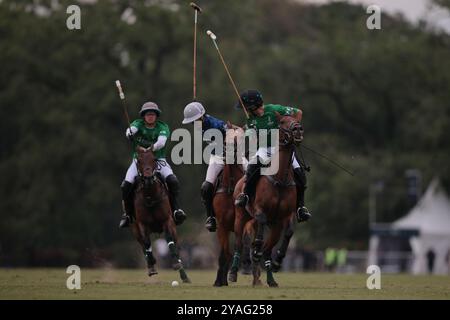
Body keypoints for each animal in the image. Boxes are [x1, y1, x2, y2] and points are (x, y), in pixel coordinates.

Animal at [130, 146, 190, 284]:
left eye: (154, 159)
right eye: (139, 161)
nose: (147, 179)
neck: (150, 197)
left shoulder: (167, 220)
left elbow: (170, 241)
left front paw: (176, 264)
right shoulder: (141, 223)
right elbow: (146, 243)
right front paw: (152, 264)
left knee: (176, 245)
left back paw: (183, 273)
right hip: (135, 230)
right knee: (143, 245)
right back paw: (150, 264)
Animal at [229, 115, 302, 288]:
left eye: (295, 119)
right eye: (282, 122)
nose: (297, 129)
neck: (280, 178)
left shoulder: (284, 217)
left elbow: (289, 232)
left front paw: (278, 260)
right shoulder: (260, 209)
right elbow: (260, 228)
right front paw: (256, 249)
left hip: (270, 224)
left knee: (267, 249)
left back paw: (269, 278)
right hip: (241, 216)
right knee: (239, 243)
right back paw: (234, 272)